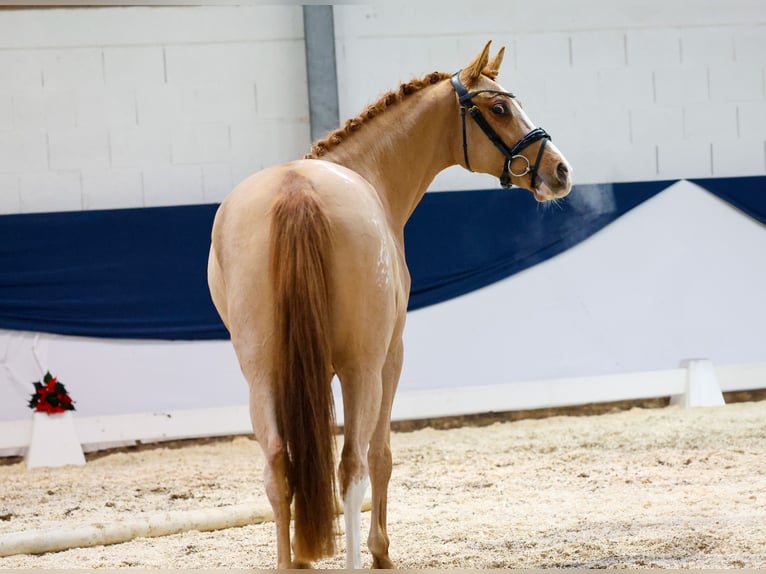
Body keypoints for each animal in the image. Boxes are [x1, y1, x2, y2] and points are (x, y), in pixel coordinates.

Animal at [208, 44, 568, 572]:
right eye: (500, 108)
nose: (559, 171)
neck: (366, 172)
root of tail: (298, 189)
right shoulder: (390, 358)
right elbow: (382, 455)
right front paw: (381, 551)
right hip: (362, 369)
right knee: (354, 464)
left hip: (263, 374)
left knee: (278, 464)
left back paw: (289, 560)